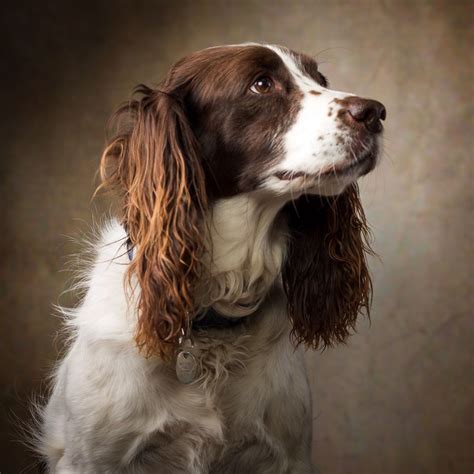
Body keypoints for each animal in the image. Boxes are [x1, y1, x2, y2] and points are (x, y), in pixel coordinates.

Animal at [37, 42, 386, 472]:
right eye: (261, 84)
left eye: (320, 80)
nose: (375, 113)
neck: (211, 314)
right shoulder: (90, 459)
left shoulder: (287, 455)